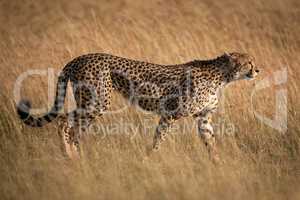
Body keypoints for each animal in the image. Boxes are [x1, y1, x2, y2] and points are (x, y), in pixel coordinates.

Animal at [17, 52, 260, 160]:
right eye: (248, 62)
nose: (258, 70)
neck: (222, 76)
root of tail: (79, 58)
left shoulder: (203, 118)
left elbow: (210, 142)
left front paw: (217, 163)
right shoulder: (171, 113)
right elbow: (159, 139)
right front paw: (150, 158)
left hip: (91, 104)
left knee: (73, 127)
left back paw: (75, 155)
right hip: (97, 102)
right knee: (63, 121)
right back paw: (71, 155)